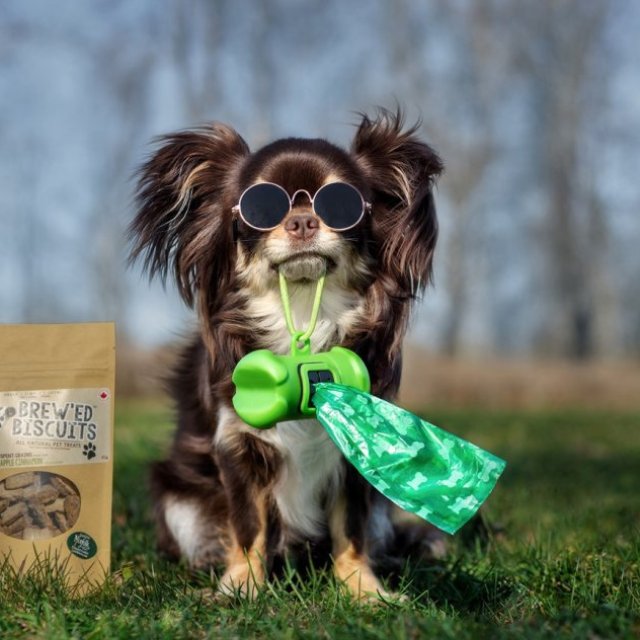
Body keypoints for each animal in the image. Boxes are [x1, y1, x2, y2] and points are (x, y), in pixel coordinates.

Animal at [130, 107, 444, 604]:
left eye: (342, 204)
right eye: (258, 208)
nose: (301, 222)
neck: (299, 314)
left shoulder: (358, 449)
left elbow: (351, 529)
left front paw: (363, 590)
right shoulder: (237, 445)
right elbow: (249, 526)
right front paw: (241, 588)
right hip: (178, 494)